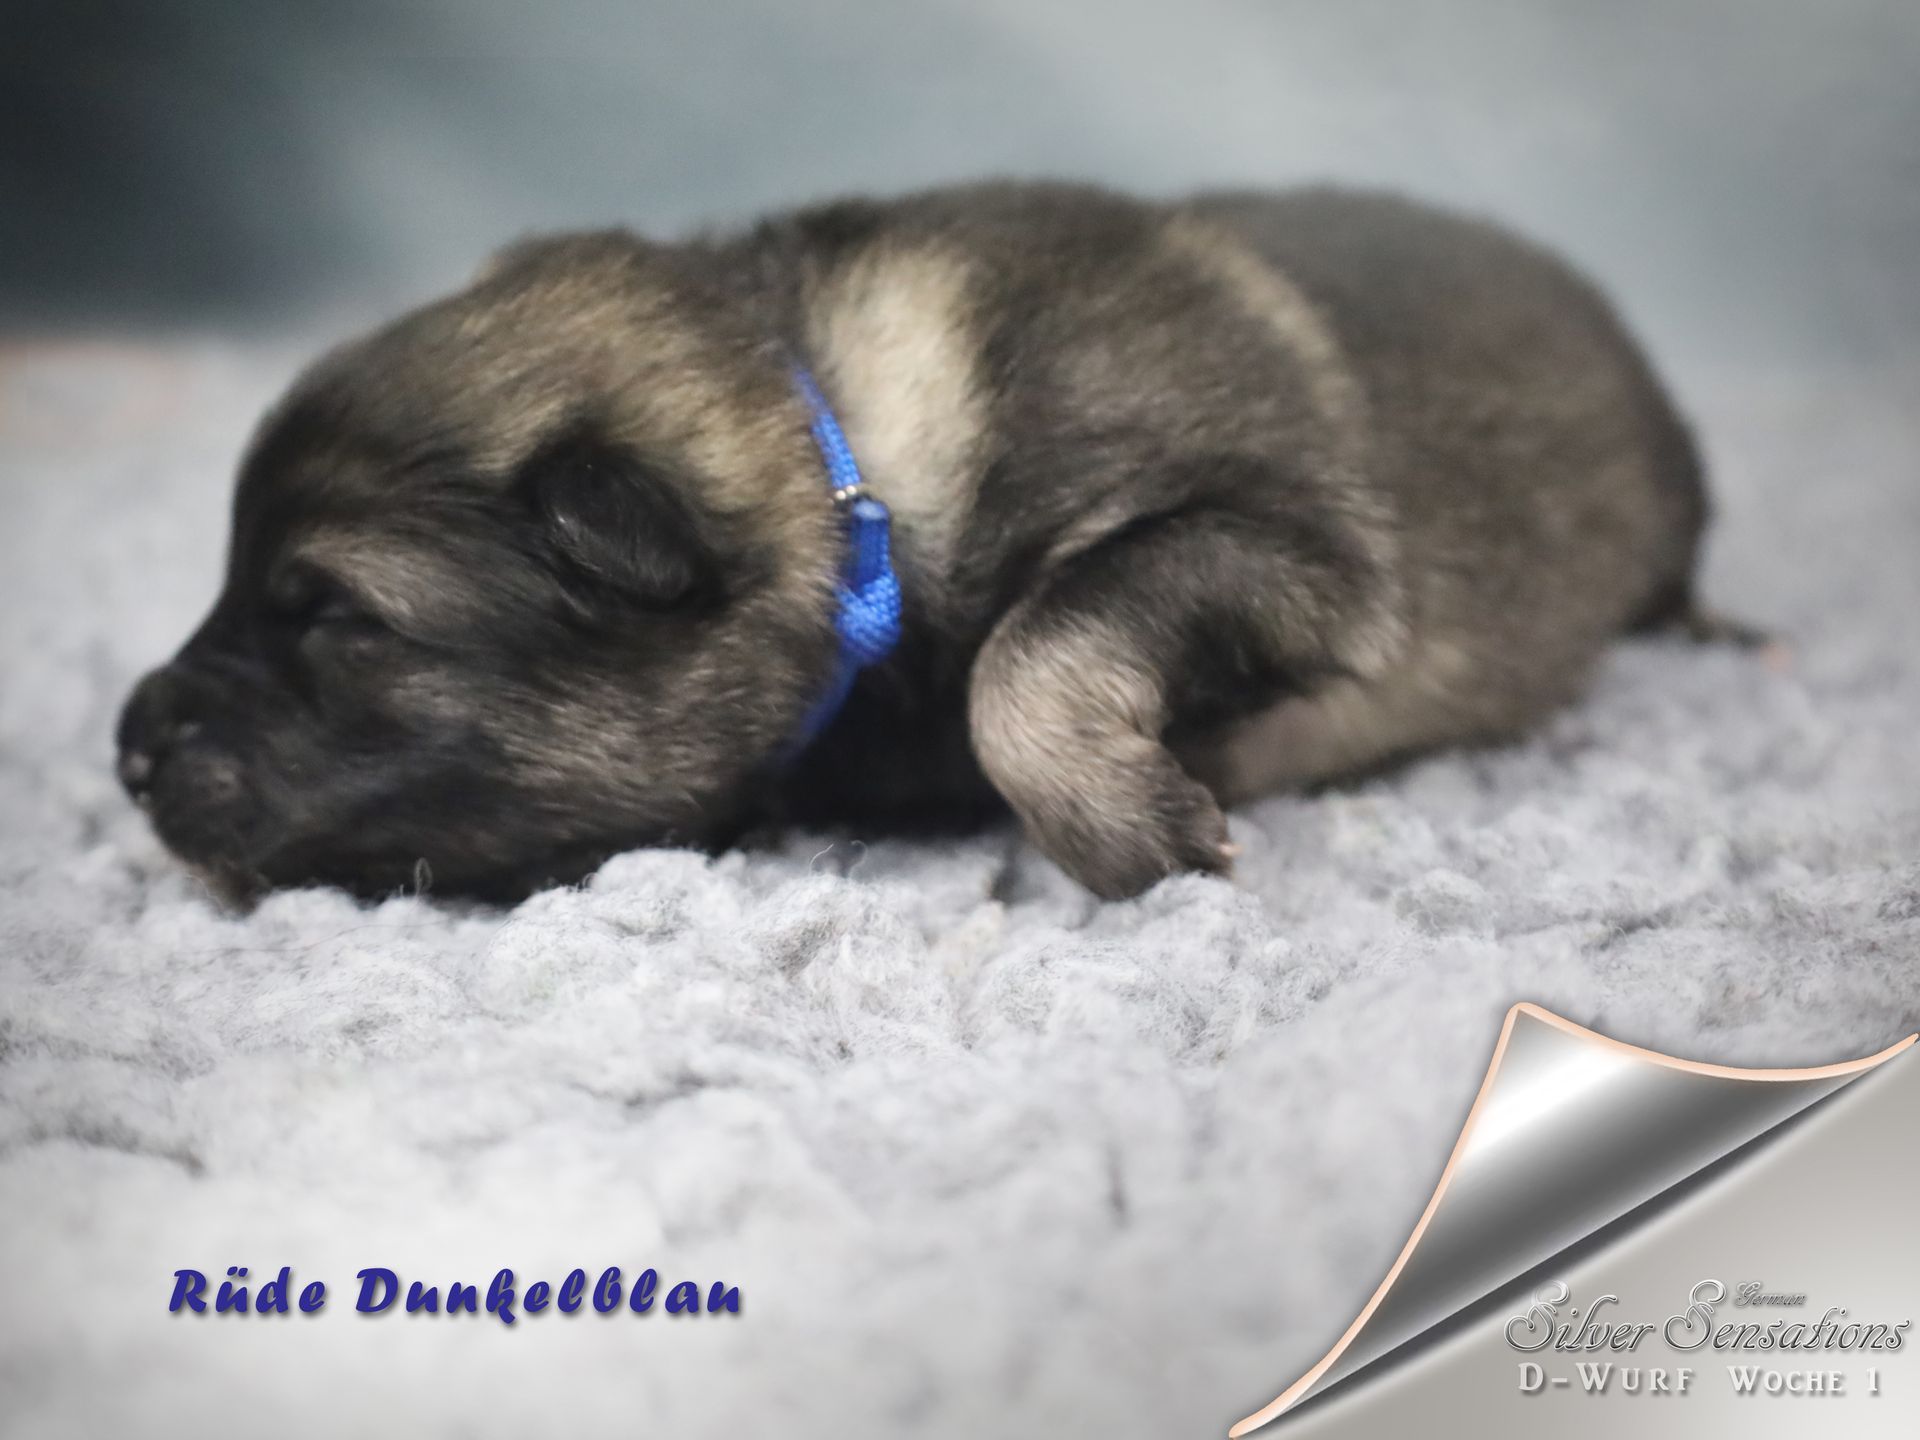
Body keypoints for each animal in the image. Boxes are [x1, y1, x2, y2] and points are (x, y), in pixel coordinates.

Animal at [117, 182, 1727, 902]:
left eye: (338, 620)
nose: (127, 748)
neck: (845, 450)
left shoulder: (1293, 543)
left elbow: (1028, 656)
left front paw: (1135, 827)